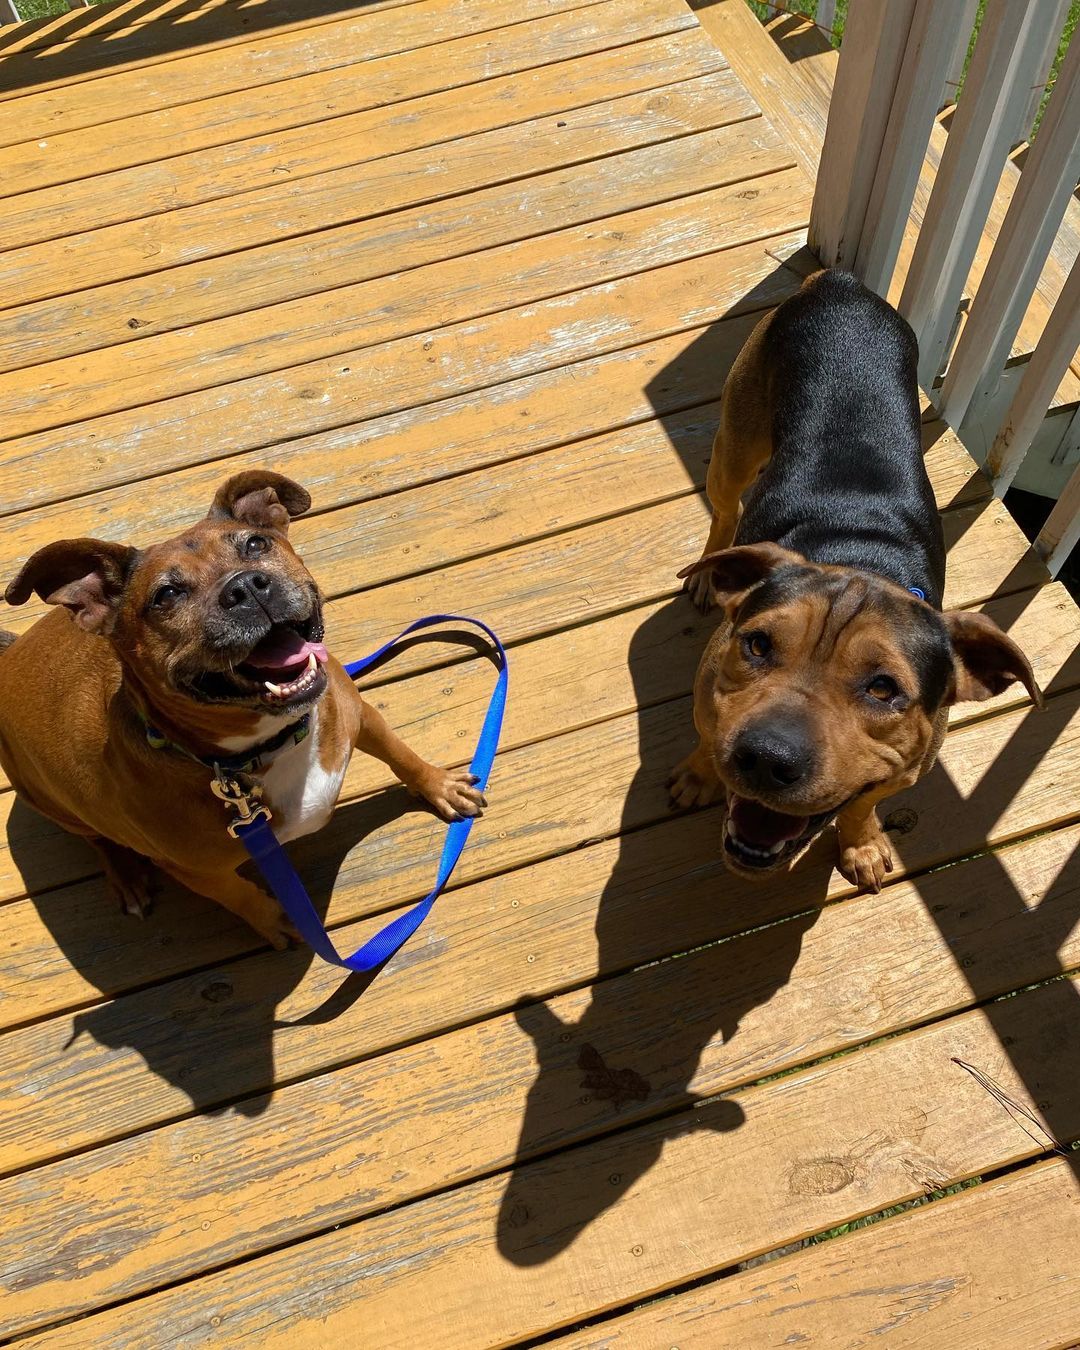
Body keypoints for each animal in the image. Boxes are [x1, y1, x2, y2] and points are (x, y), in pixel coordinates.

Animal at [0, 469, 486, 945]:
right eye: (166, 595)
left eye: (255, 544)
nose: (245, 587)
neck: (269, 745)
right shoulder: (199, 872)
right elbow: (241, 896)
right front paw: (281, 923)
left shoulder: (362, 716)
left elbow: (402, 755)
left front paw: (442, 787)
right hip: (52, 801)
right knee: (98, 840)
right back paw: (127, 878)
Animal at [669, 268, 1042, 891]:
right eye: (757, 645)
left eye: (884, 689)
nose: (765, 757)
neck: (864, 560)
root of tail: (840, 281)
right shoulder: (708, 692)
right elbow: (703, 735)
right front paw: (698, 775)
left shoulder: (909, 766)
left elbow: (864, 802)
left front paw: (862, 843)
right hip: (736, 441)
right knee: (725, 506)